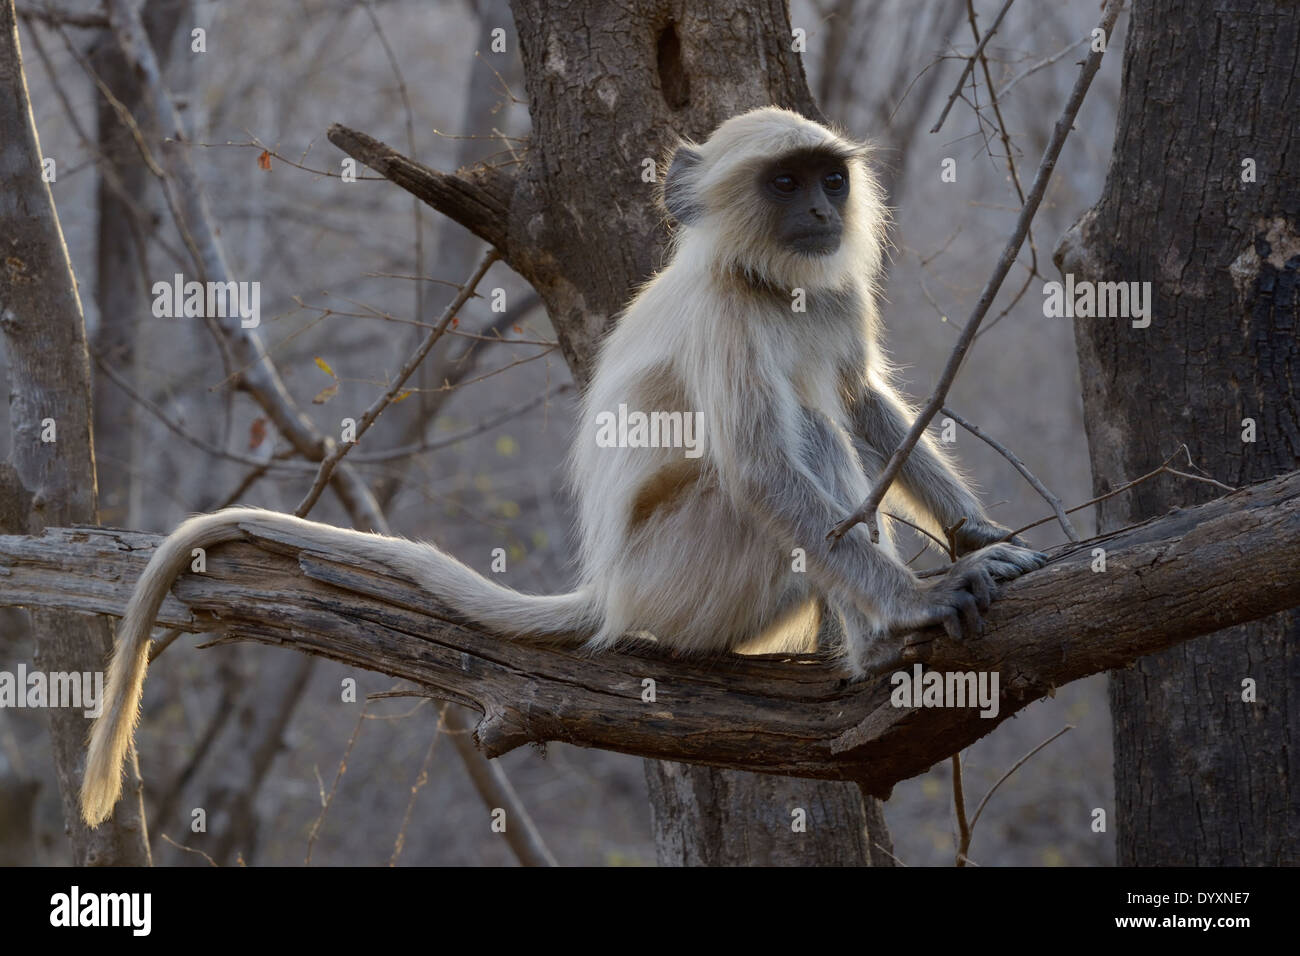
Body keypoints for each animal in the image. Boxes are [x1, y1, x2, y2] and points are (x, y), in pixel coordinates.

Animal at [81, 102, 1045, 822]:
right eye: (784, 181)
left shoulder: (833, 292)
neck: (768, 282)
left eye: (829, 177)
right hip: (681, 578)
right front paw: (916, 600)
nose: (820, 211)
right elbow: (765, 468)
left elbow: (863, 400)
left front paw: (978, 536)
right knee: (794, 442)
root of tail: (609, 590)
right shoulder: (723, 312)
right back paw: (879, 642)